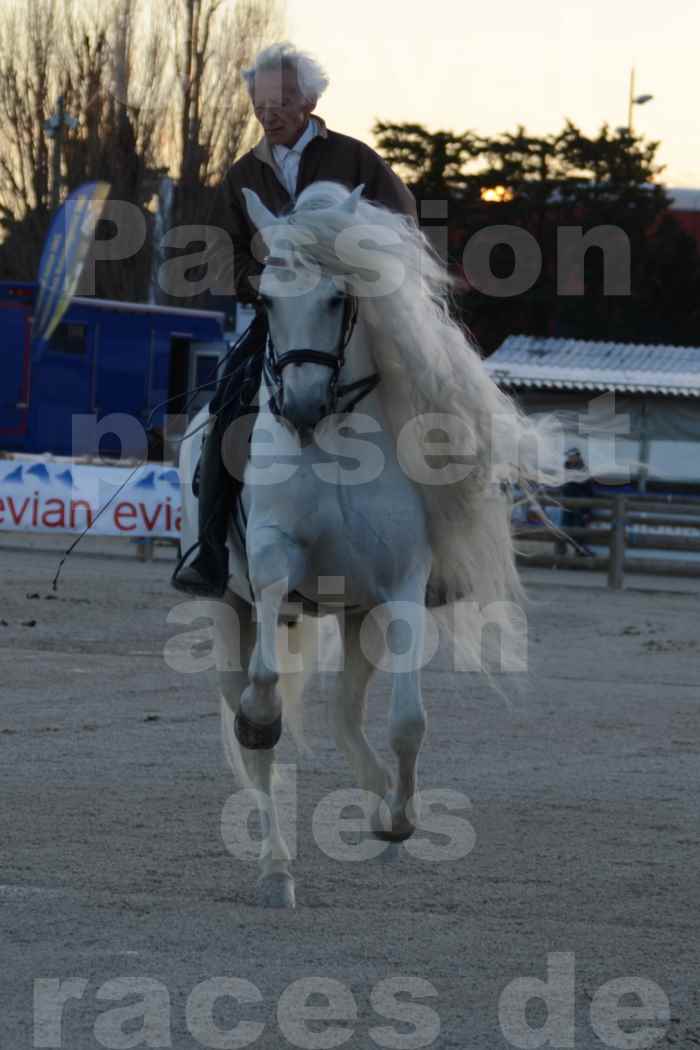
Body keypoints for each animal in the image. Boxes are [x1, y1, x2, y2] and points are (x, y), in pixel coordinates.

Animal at [179, 178, 558, 902]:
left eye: (336, 297)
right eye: (264, 301)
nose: (300, 409)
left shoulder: (401, 587)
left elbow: (408, 722)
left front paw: (399, 821)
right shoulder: (270, 557)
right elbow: (263, 695)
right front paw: (263, 718)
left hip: (359, 620)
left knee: (346, 719)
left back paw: (380, 809)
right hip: (224, 612)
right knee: (259, 742)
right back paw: (276, 868)